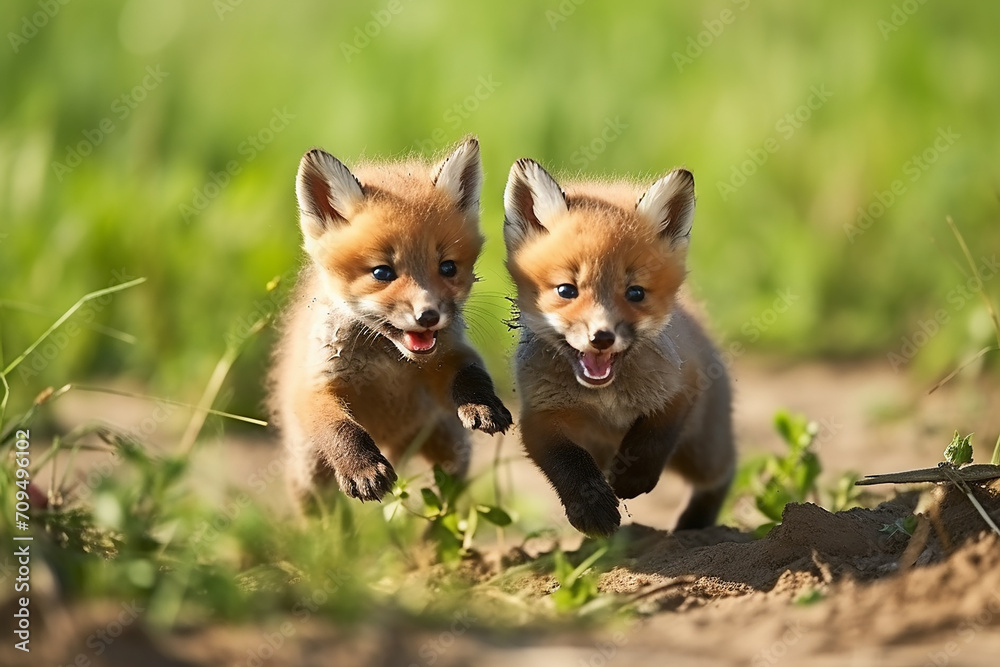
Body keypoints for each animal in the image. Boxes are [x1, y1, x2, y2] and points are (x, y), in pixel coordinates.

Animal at [269, 138, 512, 508]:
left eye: (448, 268)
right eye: (382, 272)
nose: (428, 316)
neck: (385, 362)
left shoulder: (450, 356)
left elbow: (471, 374)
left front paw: (483, 404)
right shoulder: (315, 384)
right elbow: (342, 429)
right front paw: (363, 469)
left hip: (450, 450)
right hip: (309, 475)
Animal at [502, 158, 735, 537]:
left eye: (635, 293)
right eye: (566, 290)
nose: (602, 337)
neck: (605, 400)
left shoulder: (680, 388)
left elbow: (653, 438)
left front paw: (630, 479)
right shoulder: (539, 417)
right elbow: (569, 463)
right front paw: (592, 510)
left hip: (700, 449)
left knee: (724, 471)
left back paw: (697, 524)